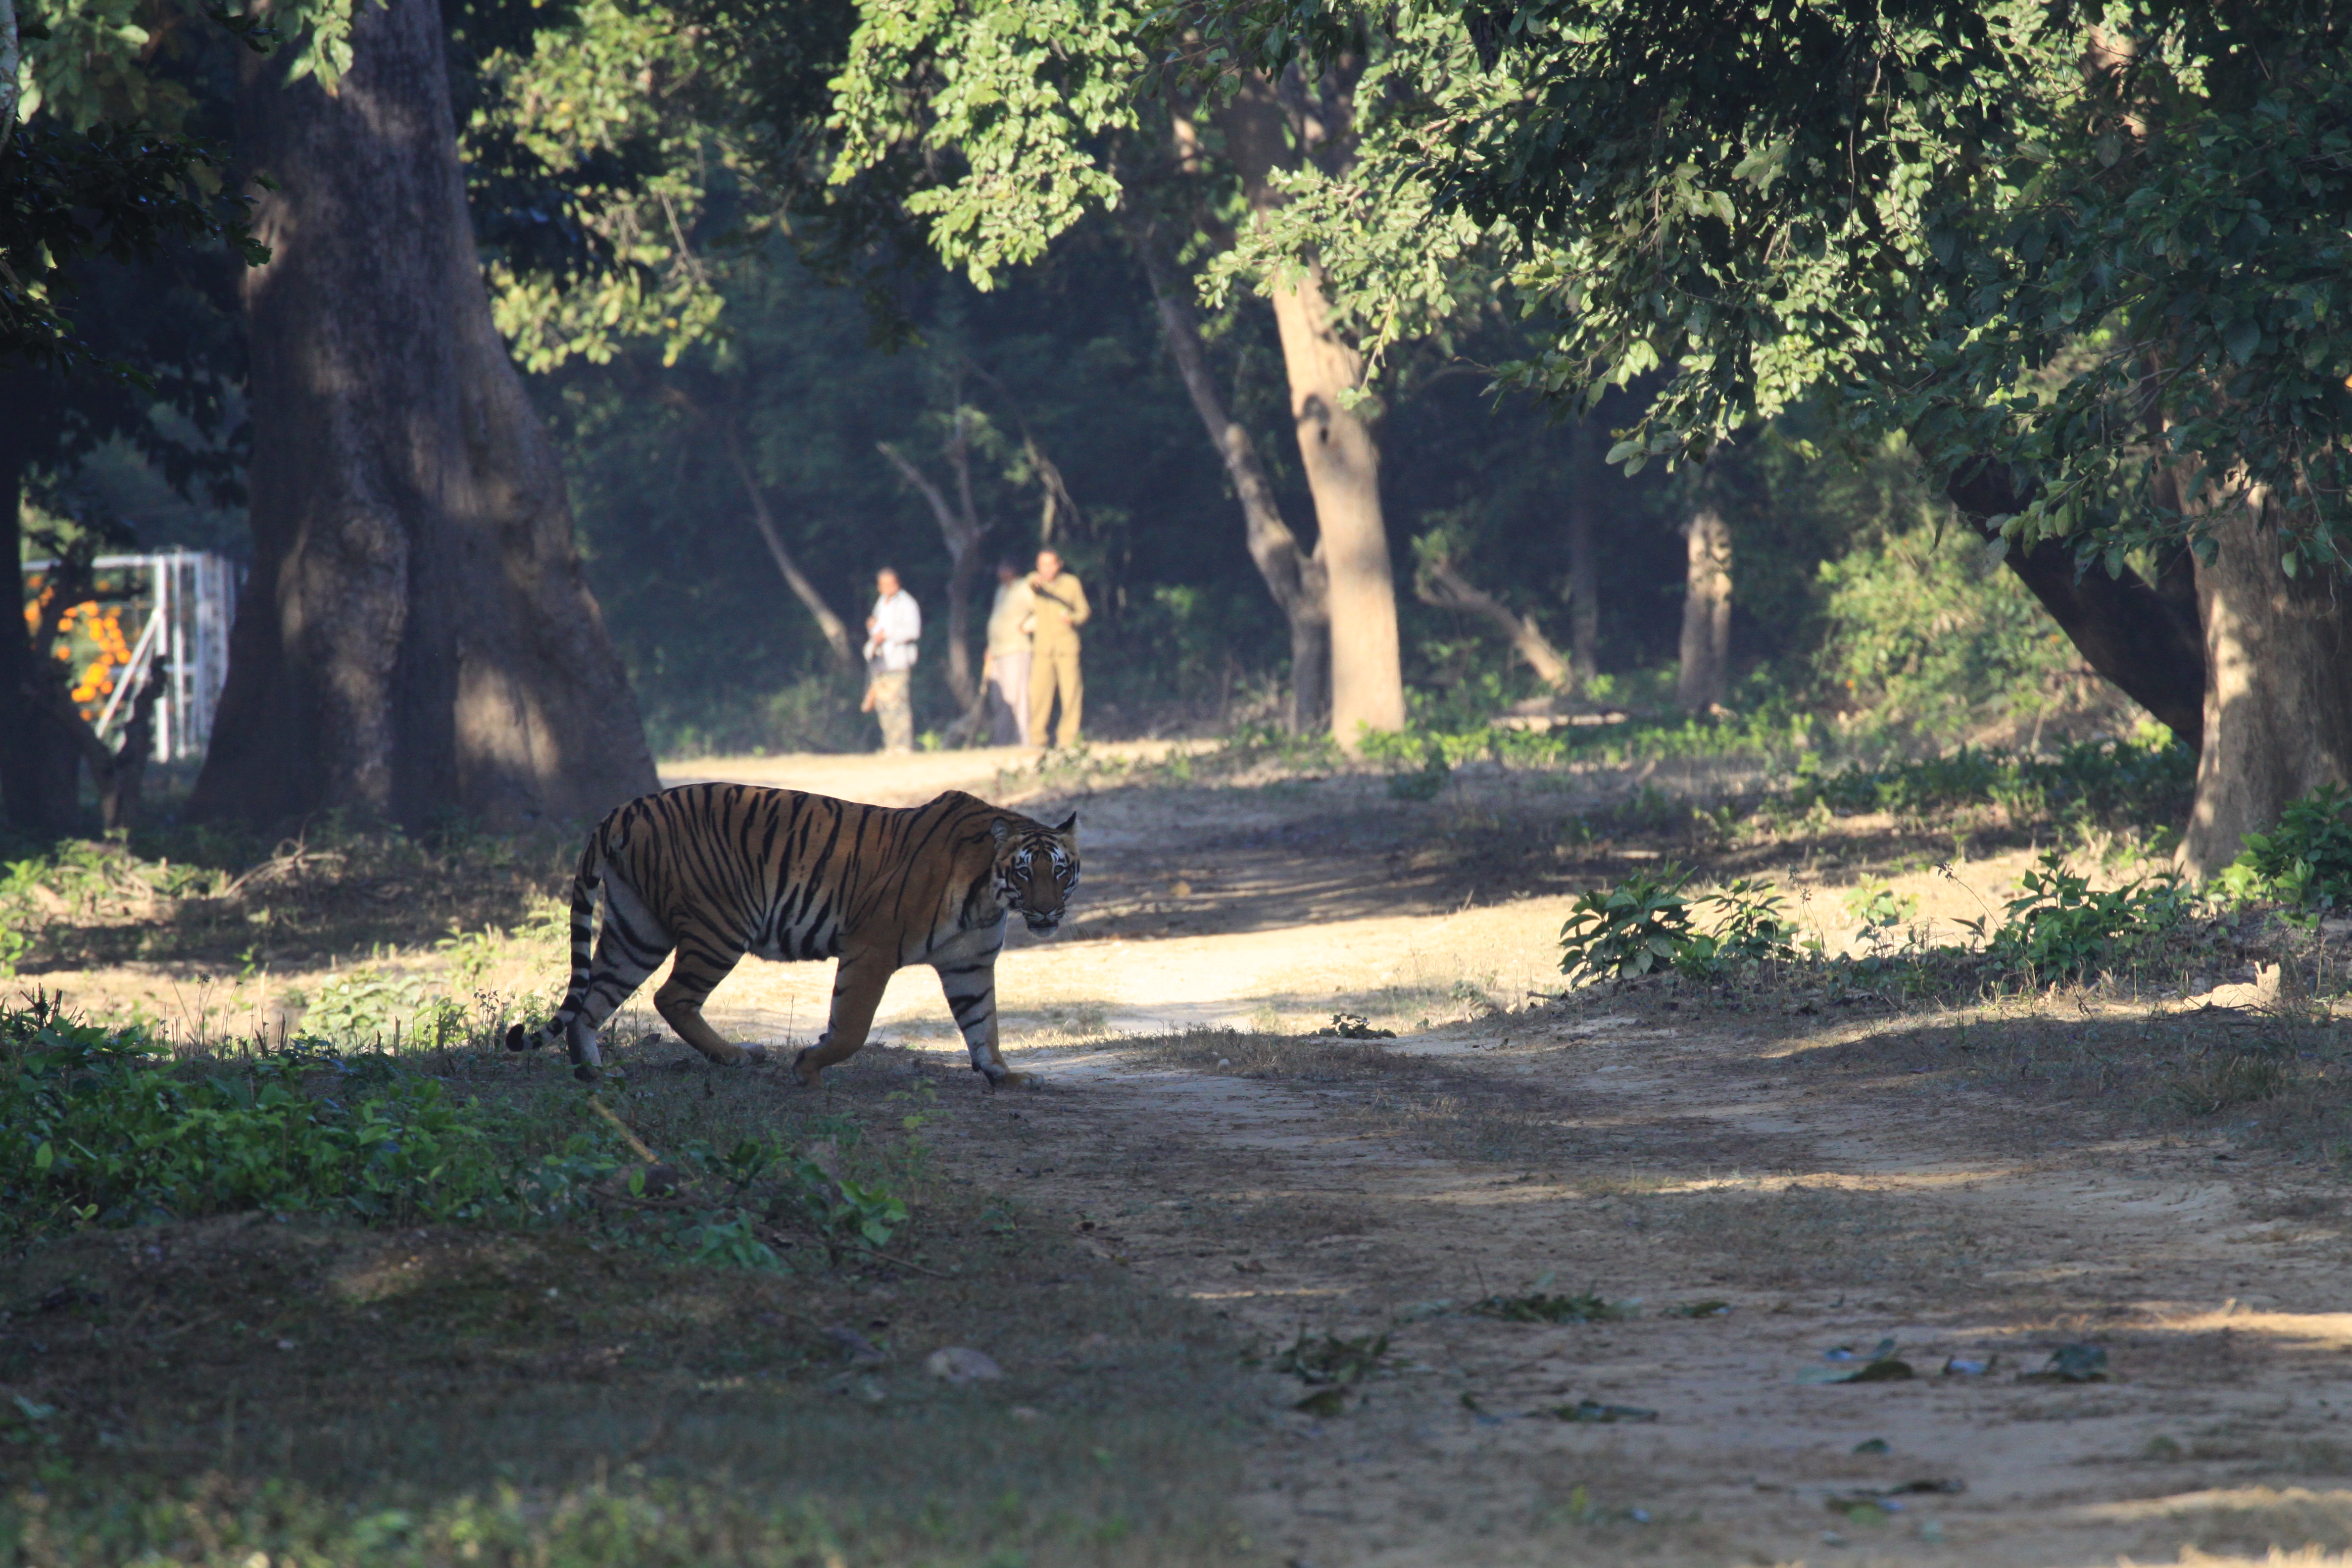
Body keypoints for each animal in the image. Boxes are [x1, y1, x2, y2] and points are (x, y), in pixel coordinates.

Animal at [505, 780, 1081, 1090]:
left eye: (1061, 870)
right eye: (1025, 872)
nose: (1047, 911)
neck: (988, 898)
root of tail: (626, 809)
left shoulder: (970, 964)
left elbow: (984, 1025)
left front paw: (1005, 1076)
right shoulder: (871, 948)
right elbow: (852, 1029)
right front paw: (808, 1068)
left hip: (637, 929)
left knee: (590, 1004)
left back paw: (595, 1076)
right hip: (719, 926)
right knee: (671, 997)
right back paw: (737, 1056)